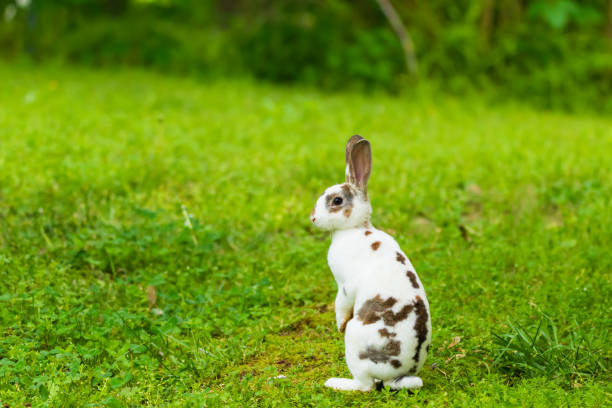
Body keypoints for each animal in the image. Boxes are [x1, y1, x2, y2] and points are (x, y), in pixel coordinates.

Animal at [310, 135, 430, 390]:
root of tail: (398, 374)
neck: (354, 229)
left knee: (365, 386)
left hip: (355, 343)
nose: (313, 218)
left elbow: (340, 306)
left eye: (337, 200)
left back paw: (335, 383)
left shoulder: (345, 287)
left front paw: (338, 325)